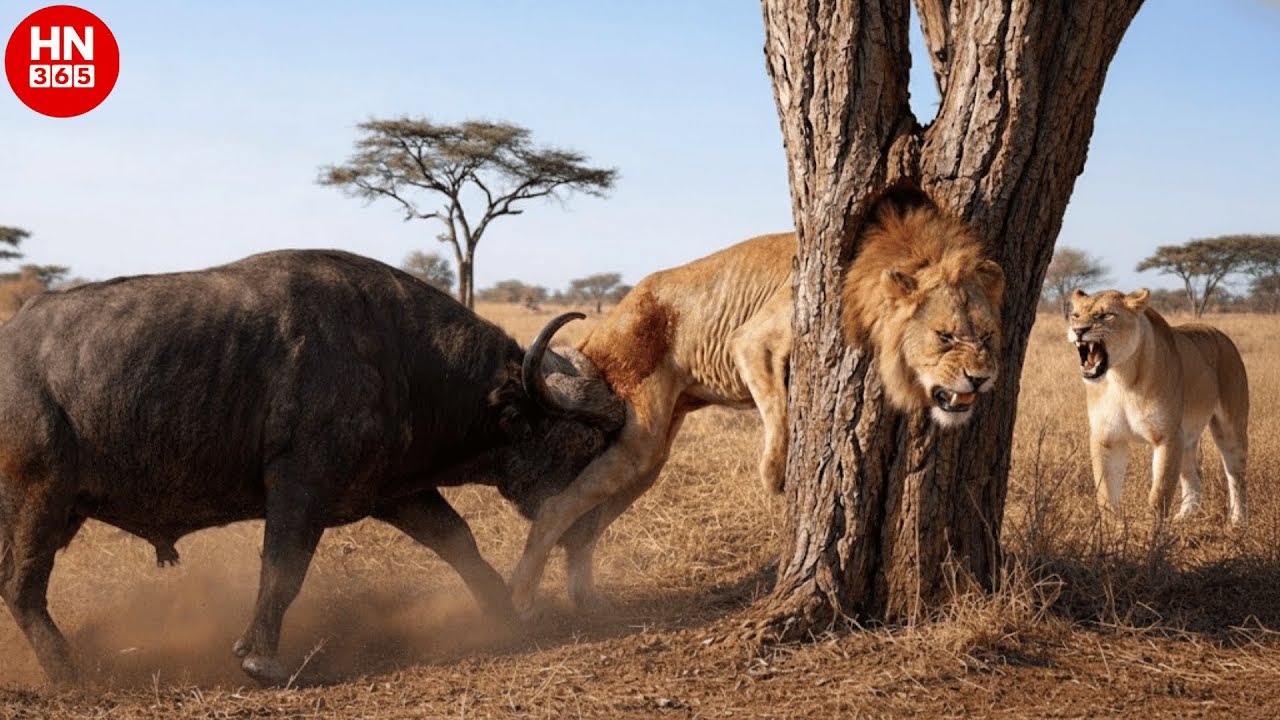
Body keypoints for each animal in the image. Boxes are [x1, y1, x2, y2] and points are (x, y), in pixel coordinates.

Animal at [0, 249, 622, 686]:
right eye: (583, 443)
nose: (590, 523)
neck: (404, 360)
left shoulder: (397, 493)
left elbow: (460, 543)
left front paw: (504, 614)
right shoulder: (300, 491)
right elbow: (282, 571)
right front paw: (261, 660)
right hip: (40, 500)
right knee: (22, 587)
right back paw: (72, 673)